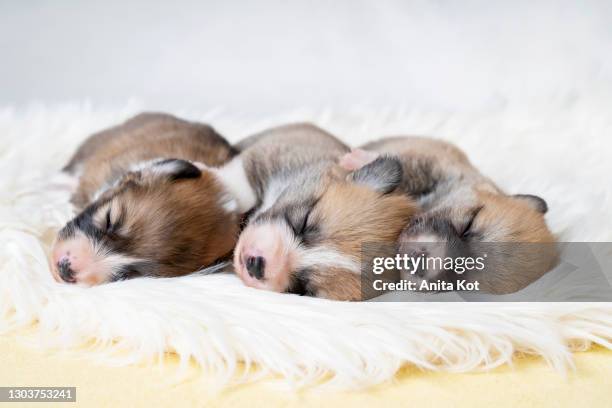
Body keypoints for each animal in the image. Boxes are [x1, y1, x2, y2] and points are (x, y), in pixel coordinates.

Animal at [342, 136, 556, 294]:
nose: (417, 262)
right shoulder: (435, 163)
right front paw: (357, 158)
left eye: (459, 278)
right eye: (467, 226)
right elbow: (406, 166)